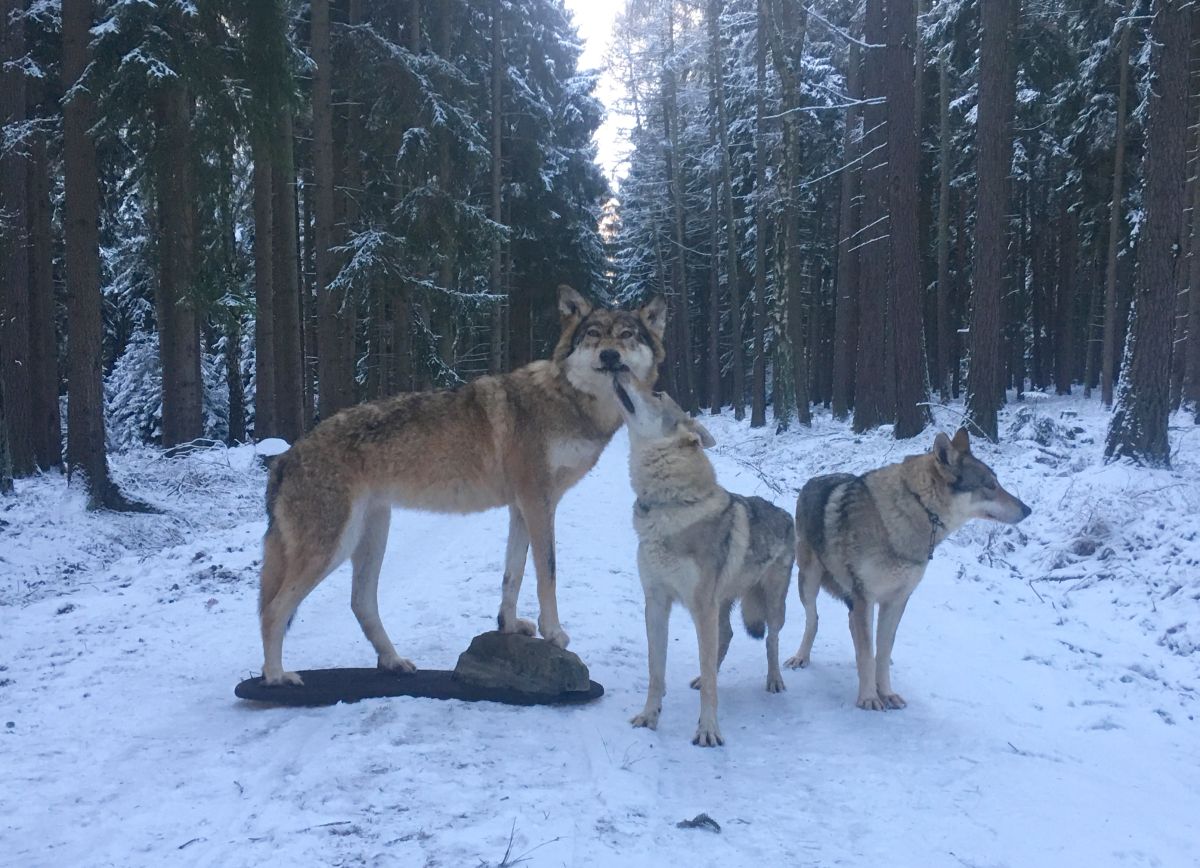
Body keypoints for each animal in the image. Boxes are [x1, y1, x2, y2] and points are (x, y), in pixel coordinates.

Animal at [258, 288, 667, 691]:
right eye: (594, 334)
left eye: (627, 335)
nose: (610, 355)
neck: (571, 403)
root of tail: (284, 458)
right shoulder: (538, 502)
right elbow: (546, 573)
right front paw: (554, 633)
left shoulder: (522, 507)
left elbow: (512, 576)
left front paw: (509, 625)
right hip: (332, 548)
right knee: (273, 610)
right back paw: (277, 676)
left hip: (372, 536)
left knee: (360, 603)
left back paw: (393, 662)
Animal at [609, 374, 796, 749]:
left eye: (657, 392)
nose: (616, 366)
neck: (668, 506)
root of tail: (786, 514)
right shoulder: (656, 602)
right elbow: (656, 670)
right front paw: (649, 717)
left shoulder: (701, 606)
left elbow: (711, 679)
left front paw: (708, 730)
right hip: (721, 606)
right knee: (726, 638)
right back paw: (699, 678)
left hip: (770, 605)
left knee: (770, 641)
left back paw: (774, 681)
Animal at [787, 424, 1032, 710]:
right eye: (991, 485)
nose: (1028, 509)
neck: (914, 509)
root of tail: (812, 481)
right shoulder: (865, 597)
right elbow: (868, 652)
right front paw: (869, 697)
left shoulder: (897, 600)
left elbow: (882, 652)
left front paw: (886, 692)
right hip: (809, 582)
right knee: (813, 620)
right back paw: (800, 657)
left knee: (854, 630)